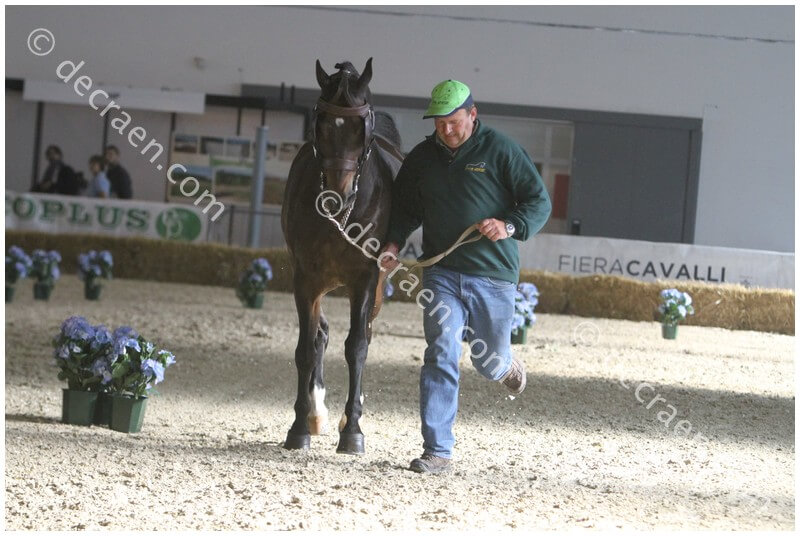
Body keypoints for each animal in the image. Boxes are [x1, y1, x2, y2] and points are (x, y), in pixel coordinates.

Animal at [280, 58, 403, 455]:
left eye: (361, 131)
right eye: (319, 125)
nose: (335, 197)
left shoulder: (366, 278)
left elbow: (357, 348)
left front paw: (353, 430)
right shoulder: (305, 277)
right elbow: (307, 348)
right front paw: (298, 427)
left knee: (362, 335)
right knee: (320, 334)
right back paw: (315, 413)